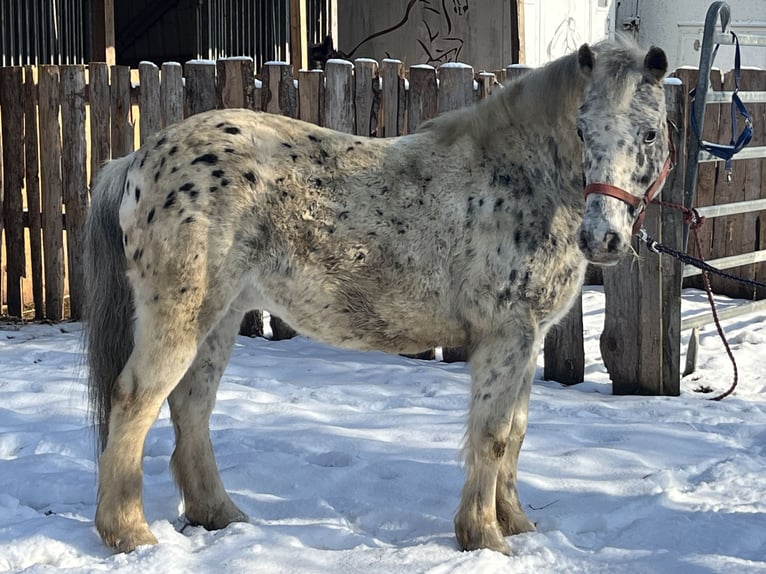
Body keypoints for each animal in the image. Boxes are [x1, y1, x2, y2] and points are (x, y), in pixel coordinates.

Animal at [83, 39, 671, 555]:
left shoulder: (528, 345)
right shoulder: (504, 339)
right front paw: (485, 538)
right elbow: (492, 437)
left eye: (648, 134)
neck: (521, 180)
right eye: (582, 129)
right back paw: (129, 534)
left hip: (222, 317)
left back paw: (219, 515)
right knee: (136, 399)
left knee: (192, 405)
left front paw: (518, 525)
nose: (603, 239)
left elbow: (517, 434)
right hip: (182, 315)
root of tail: (140, 157)